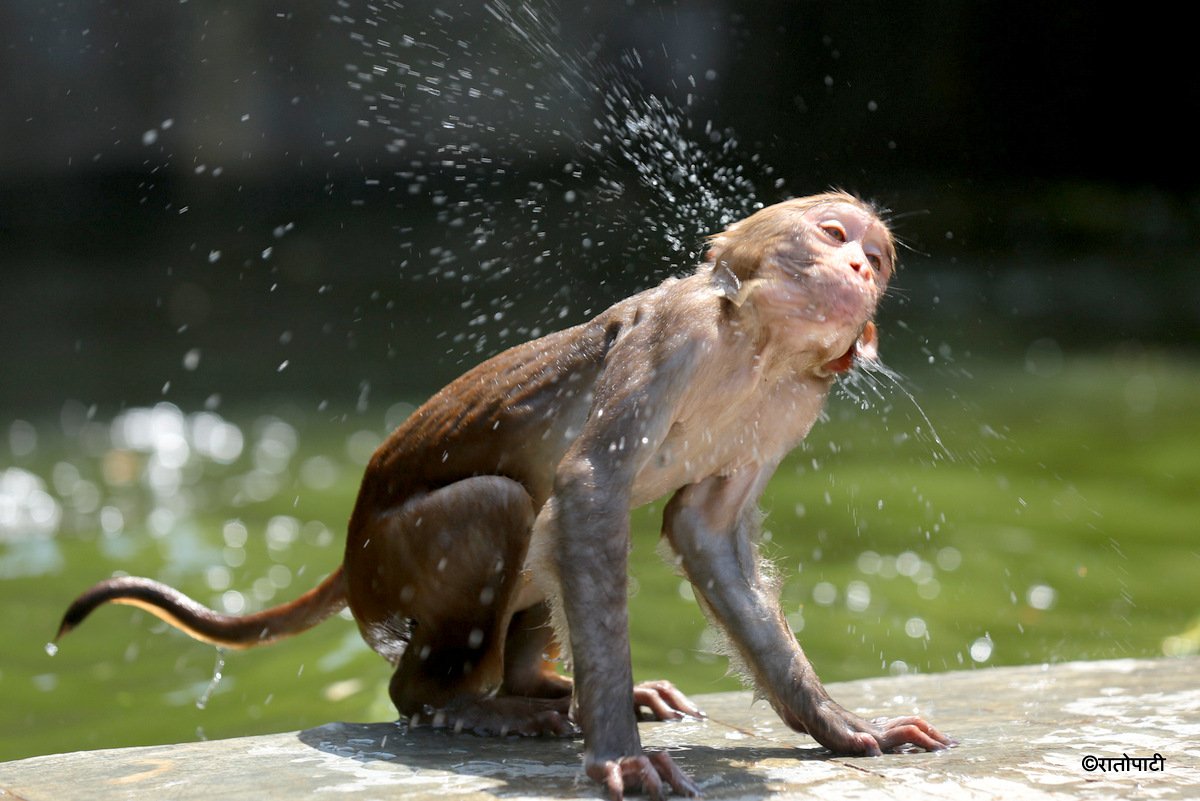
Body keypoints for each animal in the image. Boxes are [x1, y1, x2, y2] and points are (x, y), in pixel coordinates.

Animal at [58, 191, 951, 800]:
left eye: (877, 256)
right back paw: (463, 703)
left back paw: (541, 684)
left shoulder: (797, 401)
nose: (859, 268)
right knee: (504, 508)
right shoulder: (678, 334)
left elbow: (704, 531)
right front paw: (619, 753)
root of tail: (348, 552)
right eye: (832, 234)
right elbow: (589, 489)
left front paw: (840, 724)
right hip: (391, 566)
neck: (755, 348)